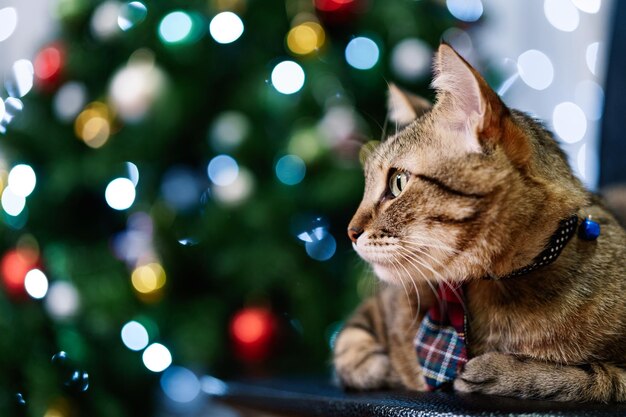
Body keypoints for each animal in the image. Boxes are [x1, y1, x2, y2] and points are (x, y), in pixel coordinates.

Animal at [334, 44, 624, 402]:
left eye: (398, 182)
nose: (349, 232)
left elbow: (588, 377)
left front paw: (499, 370)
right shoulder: (374, 307)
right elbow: (348, 344)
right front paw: (380, 366)